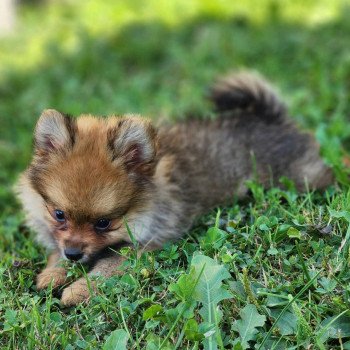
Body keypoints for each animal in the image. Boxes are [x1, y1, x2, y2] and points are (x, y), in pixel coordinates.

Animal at [16, 72, 334, 304]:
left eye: (104, 223)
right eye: (59, 214)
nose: (73, 254)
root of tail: (271, 117)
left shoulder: (142, 244)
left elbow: (107, 267)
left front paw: (78, 289)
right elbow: (55, 250)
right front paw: (53, 272)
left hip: (300, 178)